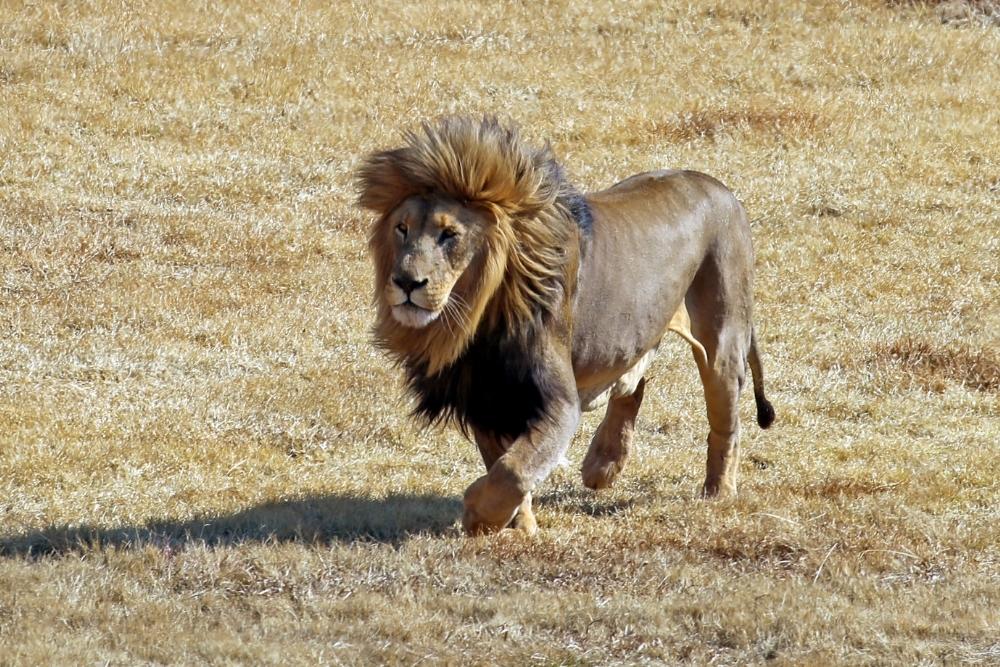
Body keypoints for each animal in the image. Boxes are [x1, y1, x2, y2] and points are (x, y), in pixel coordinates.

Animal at [356, 116, 776, 536]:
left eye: (450, 235)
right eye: (402, 228)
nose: (406, 282)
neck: (476, 320)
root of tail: (722, 189)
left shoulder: (557, 401)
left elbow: (514, 469)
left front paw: (477, 513)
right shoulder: (488, 396)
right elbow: (506, 466)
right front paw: (518, 526)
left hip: (722, 338)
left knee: (725, 422)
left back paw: (718, 492)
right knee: (633, 380)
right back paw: (603, 465)